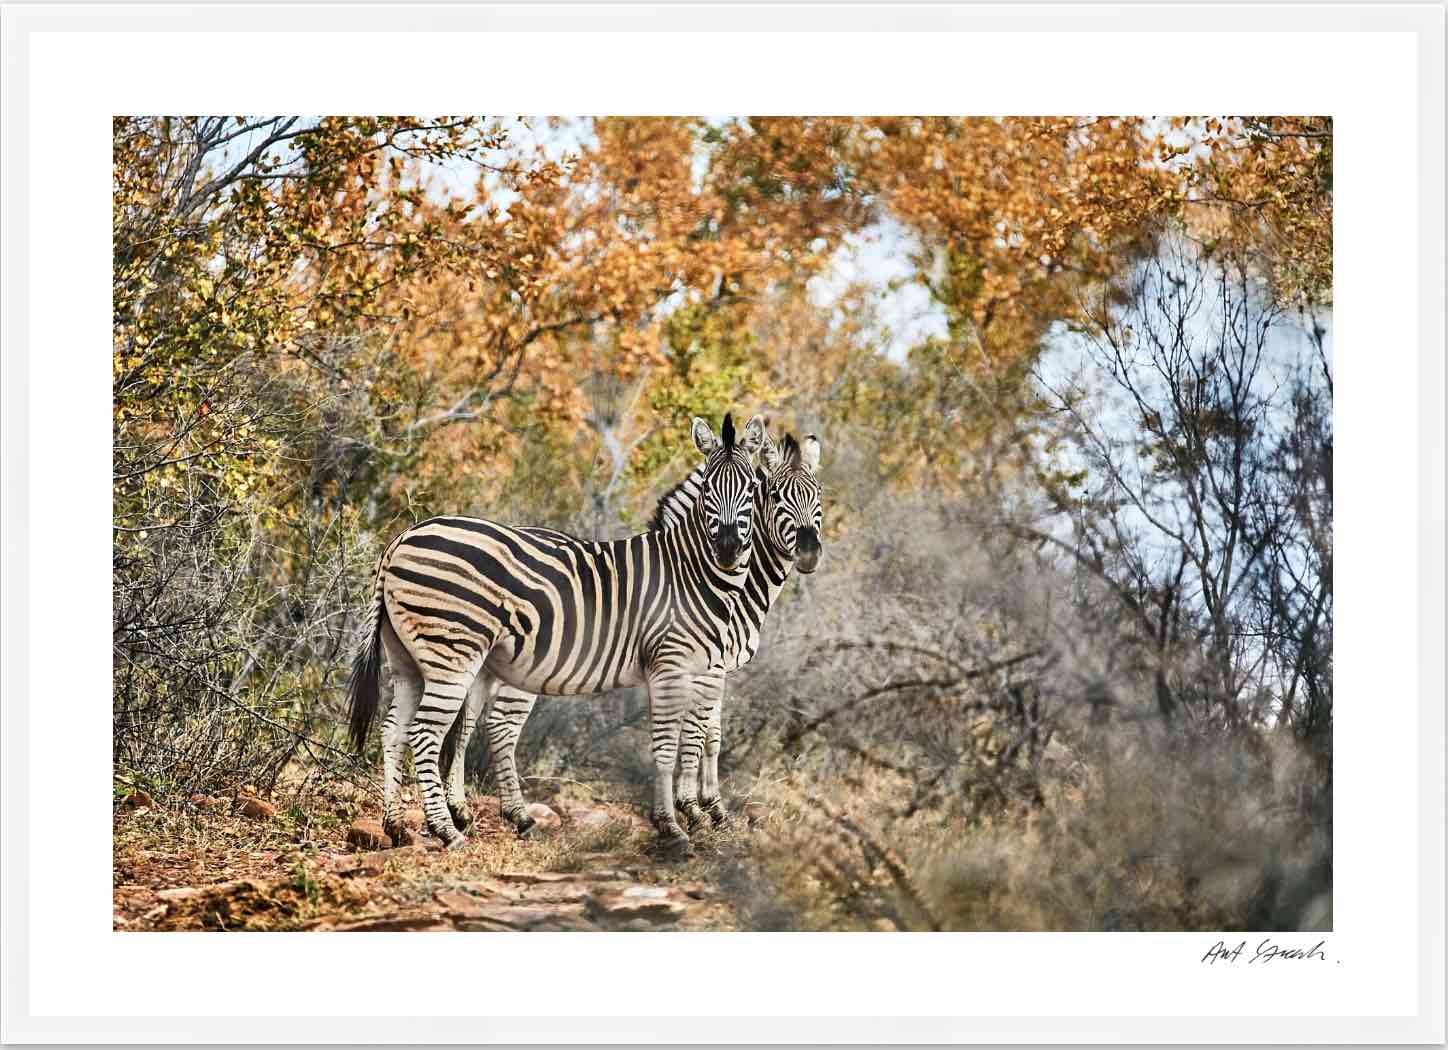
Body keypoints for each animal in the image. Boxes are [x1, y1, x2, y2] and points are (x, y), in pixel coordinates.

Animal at [346, 413, 767, 857]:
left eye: (752, 490)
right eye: (708, 489)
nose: (727, 549)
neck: (690, 571)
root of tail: (401, 539)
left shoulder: (697, 669)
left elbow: (693, 738)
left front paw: (688, 818)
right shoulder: (674, 665)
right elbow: (674, 743)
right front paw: (676, 826)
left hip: (407, 659)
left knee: (393, 730)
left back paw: (395, 826)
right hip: (453, 653)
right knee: (426, 733)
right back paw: (447, 831)